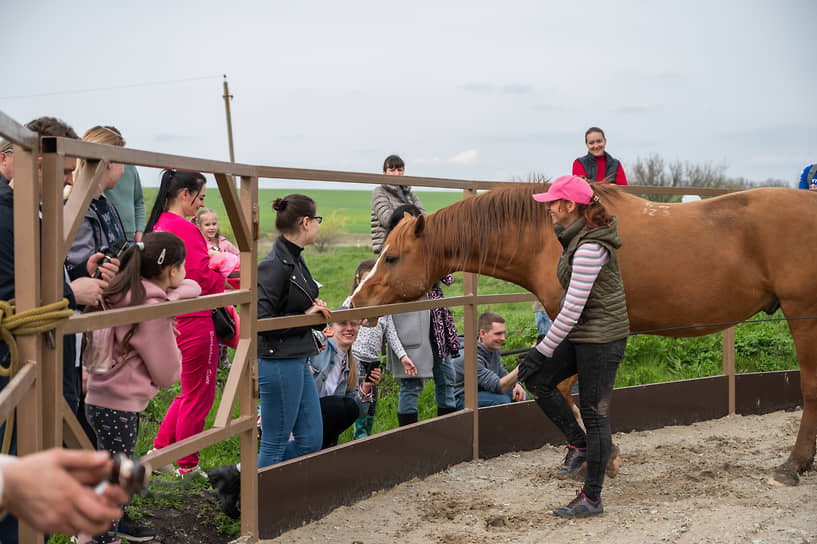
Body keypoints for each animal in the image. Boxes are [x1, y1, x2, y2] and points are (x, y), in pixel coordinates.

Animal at [350, 182, 816, 484]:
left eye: (391, 258)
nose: (355, 303)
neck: (545, 237)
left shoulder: (569, 325)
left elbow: (572, 393)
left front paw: (600, 458)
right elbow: (580, 396)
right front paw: (592, 456)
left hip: (804, 316)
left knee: (810, 390)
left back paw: (793, 466)